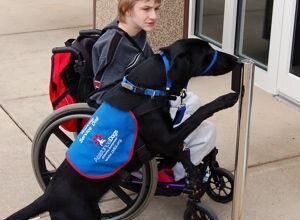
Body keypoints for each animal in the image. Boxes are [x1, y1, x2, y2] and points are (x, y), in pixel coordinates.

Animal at [5, 38, 239, 219]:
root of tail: (49, 195)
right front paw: (226, 98)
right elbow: (200, 113)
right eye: (208, 53)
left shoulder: (169, 135)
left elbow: (181, 151)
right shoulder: (166, 137)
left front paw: (195, 175)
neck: (148, 90)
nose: (236, 60)